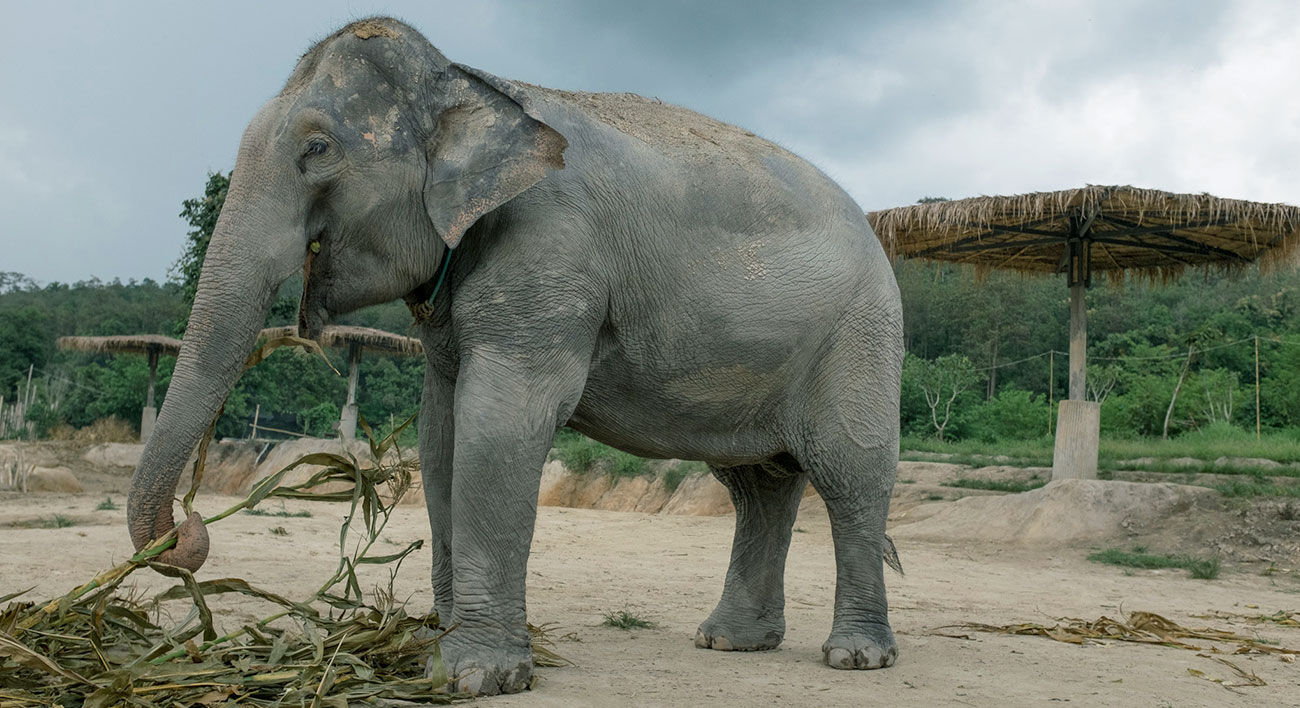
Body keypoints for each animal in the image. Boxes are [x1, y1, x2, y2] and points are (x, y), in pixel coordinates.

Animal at [129, 17, 904, 696]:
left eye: (317, 148)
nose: (189, 529)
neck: (477, 85)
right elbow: (441, 435)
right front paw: (435, 644)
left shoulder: (550, 253)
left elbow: (498, 426)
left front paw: (477, 677)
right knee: (758, 484)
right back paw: (729, 642)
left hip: (861, 336)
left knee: (850, 473)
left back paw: (855, 656)